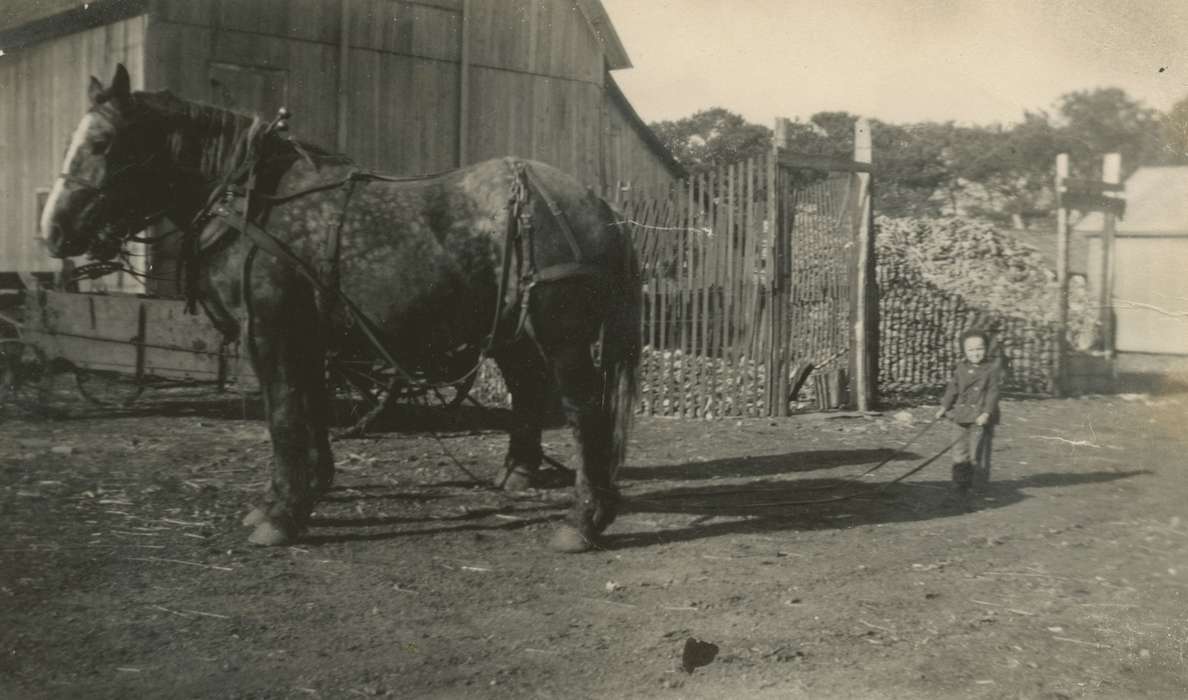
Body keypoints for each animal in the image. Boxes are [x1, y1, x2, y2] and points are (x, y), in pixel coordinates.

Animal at [41, 64, 641, 551]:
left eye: (102, 142)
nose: (52, 231)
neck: (251, 204)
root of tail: (599, 205)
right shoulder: (306, 338)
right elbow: (311, 413)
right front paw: (302, 492)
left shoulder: (272, 333)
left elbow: (284, 417)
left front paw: (282, 515)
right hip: (512, 333)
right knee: (528, 391)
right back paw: (520, 474)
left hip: (562, 337)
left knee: (584, 411)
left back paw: (584, 520)